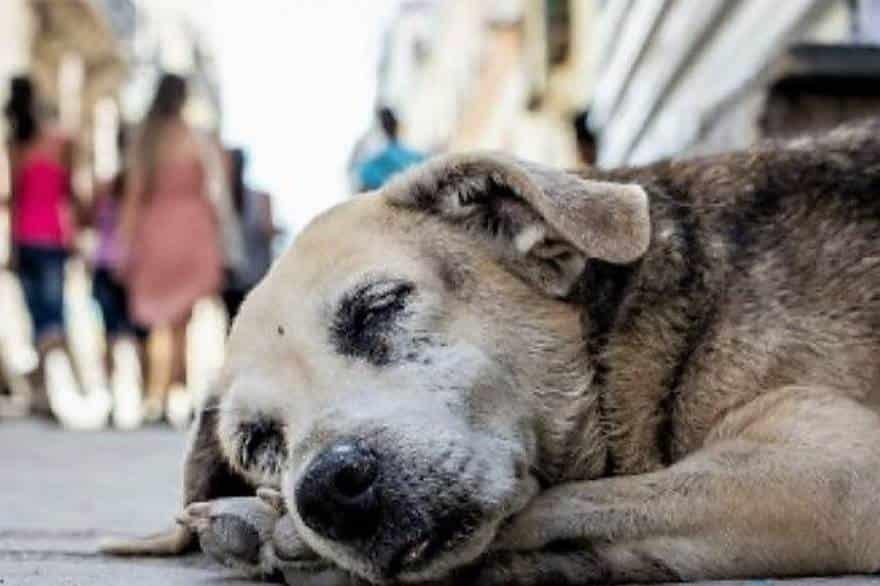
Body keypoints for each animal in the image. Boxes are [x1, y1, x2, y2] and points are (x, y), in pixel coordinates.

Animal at [105, 117, 880, 580]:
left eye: (379, 307)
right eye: (258, 441)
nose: (324, 491)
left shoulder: (832, 468)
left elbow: (565, 505)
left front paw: (275, 530)